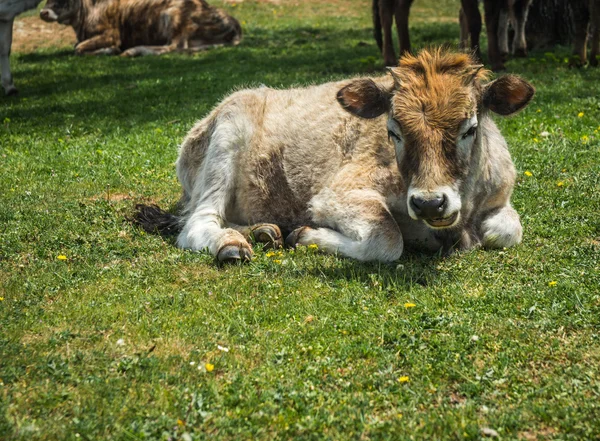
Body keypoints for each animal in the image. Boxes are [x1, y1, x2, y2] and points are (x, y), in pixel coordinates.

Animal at [39, 0, 243, 55]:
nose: (43, 12)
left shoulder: (111, 34)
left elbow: (79, 48)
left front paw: (110, 50)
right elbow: (77, 46)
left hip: (174, 16)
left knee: (174, 47)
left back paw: (134, 51)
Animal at [136, 48, 536, 262]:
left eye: (470, 128)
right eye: (393, 131)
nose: (429, 203)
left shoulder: (500, 198)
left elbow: (508, 230)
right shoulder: (335, 194)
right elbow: (386, 240)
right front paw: (306, 235)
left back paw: (263, 231)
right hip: (226, 139)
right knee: (196, 223)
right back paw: (231, 244)